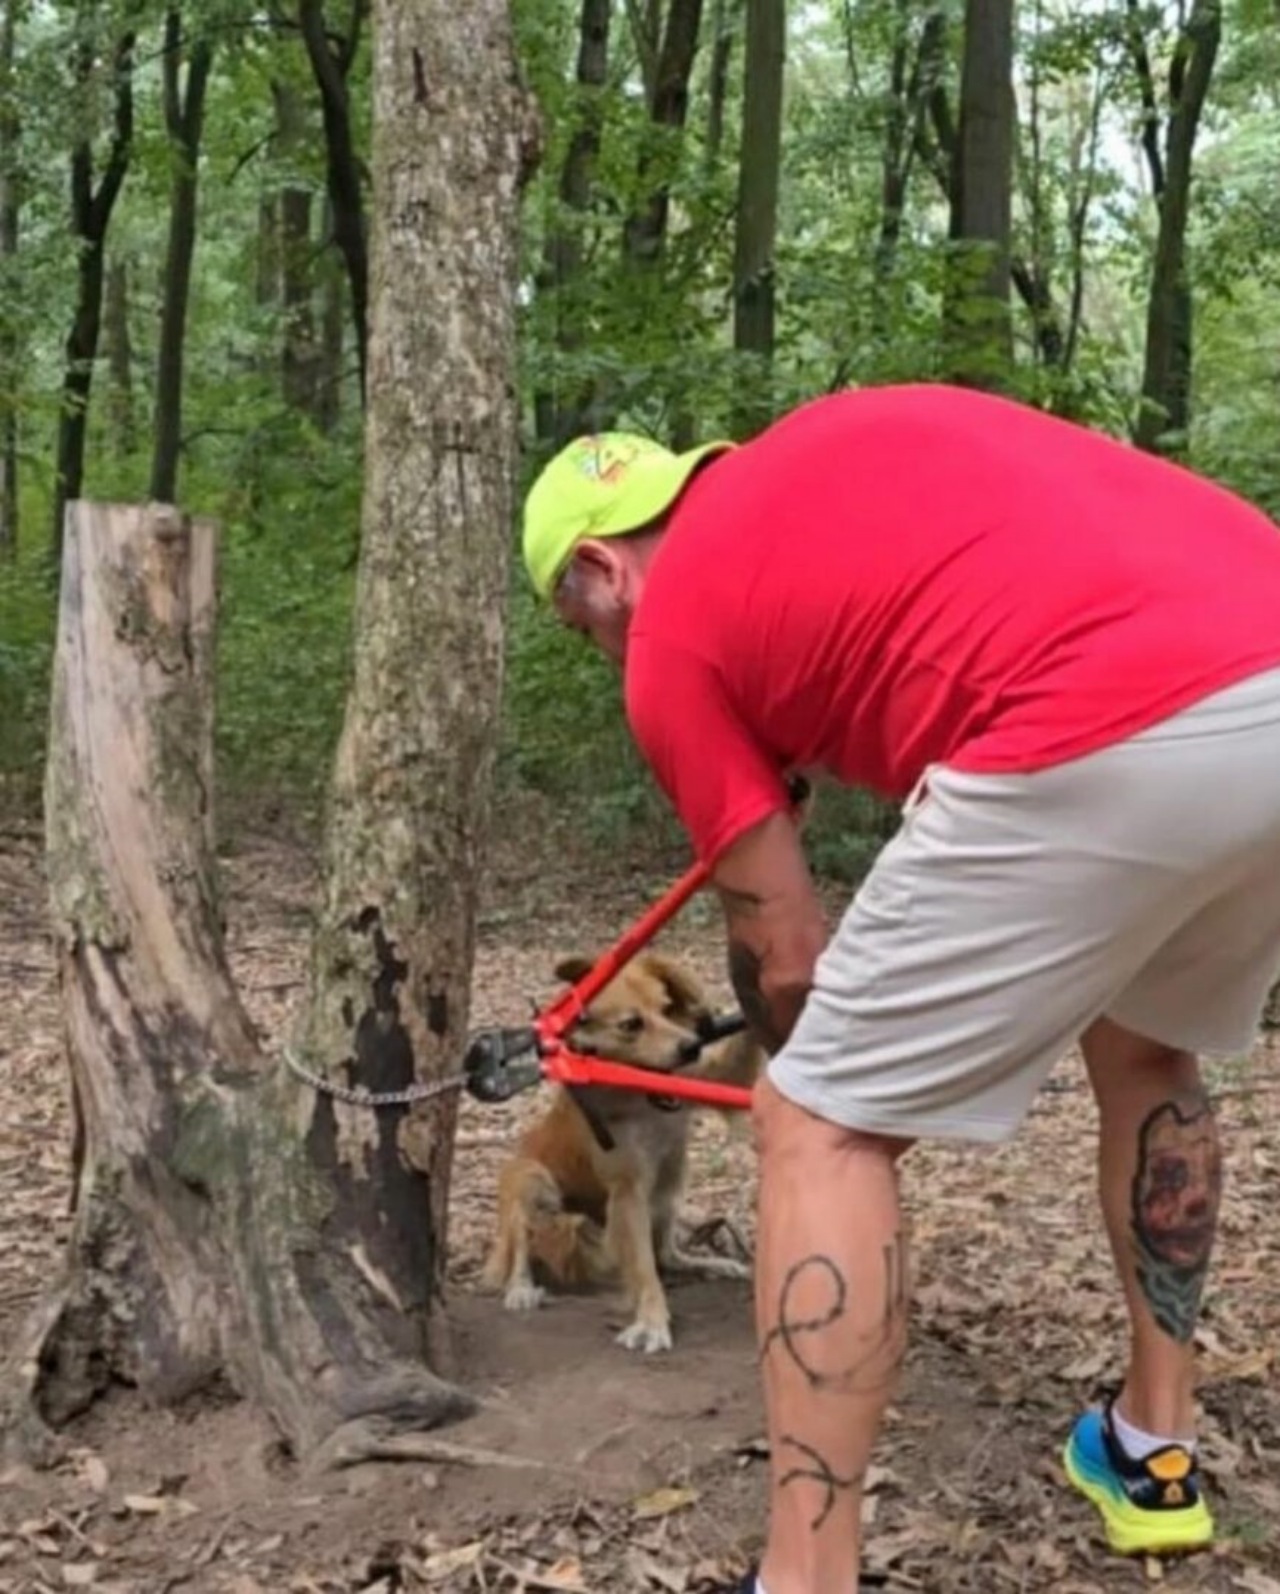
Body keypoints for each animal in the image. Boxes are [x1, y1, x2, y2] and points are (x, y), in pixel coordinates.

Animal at [481, 950, 761, 1351]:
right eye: (631, 1024)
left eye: (666, 1007)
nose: (691, 1046)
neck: (642, 1098)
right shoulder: (628, 1191)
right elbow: (643, 1269)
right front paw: (652, 1320)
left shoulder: (714, 1076)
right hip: (530, 1180)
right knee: (520, 1247)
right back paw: (521, 1289)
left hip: (671, 1187)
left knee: (668, 1254)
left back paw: (707, 1263)